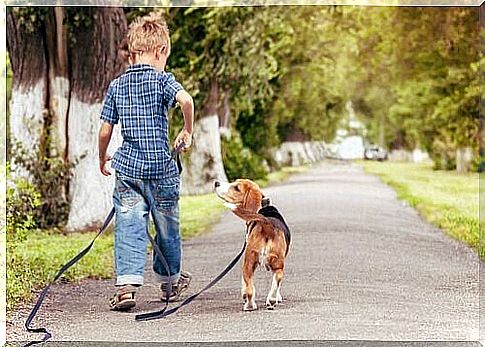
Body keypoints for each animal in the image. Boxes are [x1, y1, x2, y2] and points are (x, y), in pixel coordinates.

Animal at [214, 181, 290, 312]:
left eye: (236, 188)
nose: (216, 183)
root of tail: (266, 222)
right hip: (275, 264)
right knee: (277, 279)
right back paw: (270, 300)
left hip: (247, 263)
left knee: (250, 289)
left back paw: (250, 305)